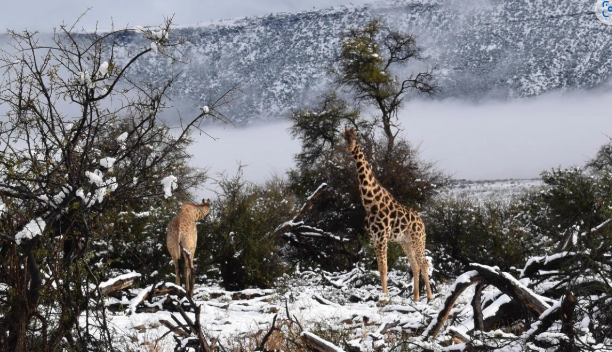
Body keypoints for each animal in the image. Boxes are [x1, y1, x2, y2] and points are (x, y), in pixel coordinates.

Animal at [344, 128, 436, 302]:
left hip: (418, 239)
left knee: (424, 263)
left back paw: (430, 297)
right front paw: (383, 295)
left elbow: (384, 268)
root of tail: (422, 223)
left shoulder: (381, 237)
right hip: (405, 242)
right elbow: (380, 268)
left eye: (355, 136)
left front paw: (385, 296)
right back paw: (416, 298)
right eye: (344, 137)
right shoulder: (374, 238)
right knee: (415, 265)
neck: (370, 202)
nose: (350, 148)